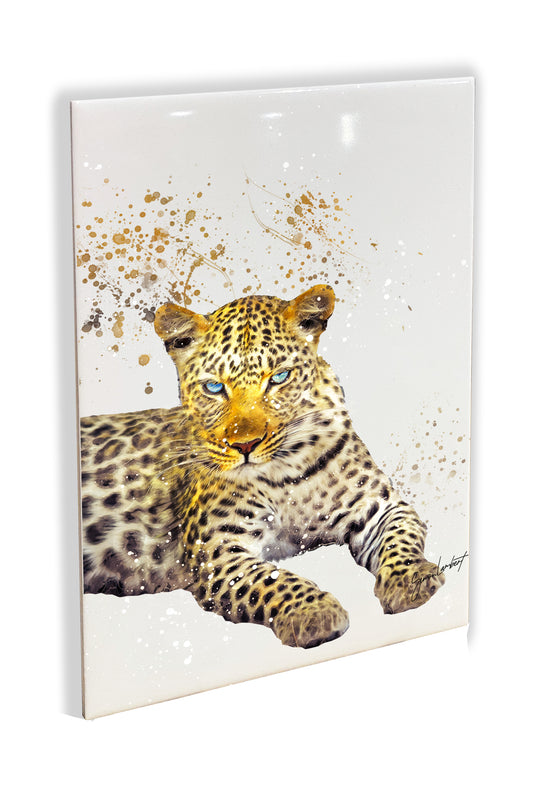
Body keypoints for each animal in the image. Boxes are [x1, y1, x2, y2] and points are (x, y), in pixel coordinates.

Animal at [80, 284, 444, 649]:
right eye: (214, 387)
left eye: (279, 378)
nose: (245, 446)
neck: (288, 472)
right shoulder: (216, 550)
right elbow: (270, 578)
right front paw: (313, 612)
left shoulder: (380, 506)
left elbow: (401, 539)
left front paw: (411, 579)